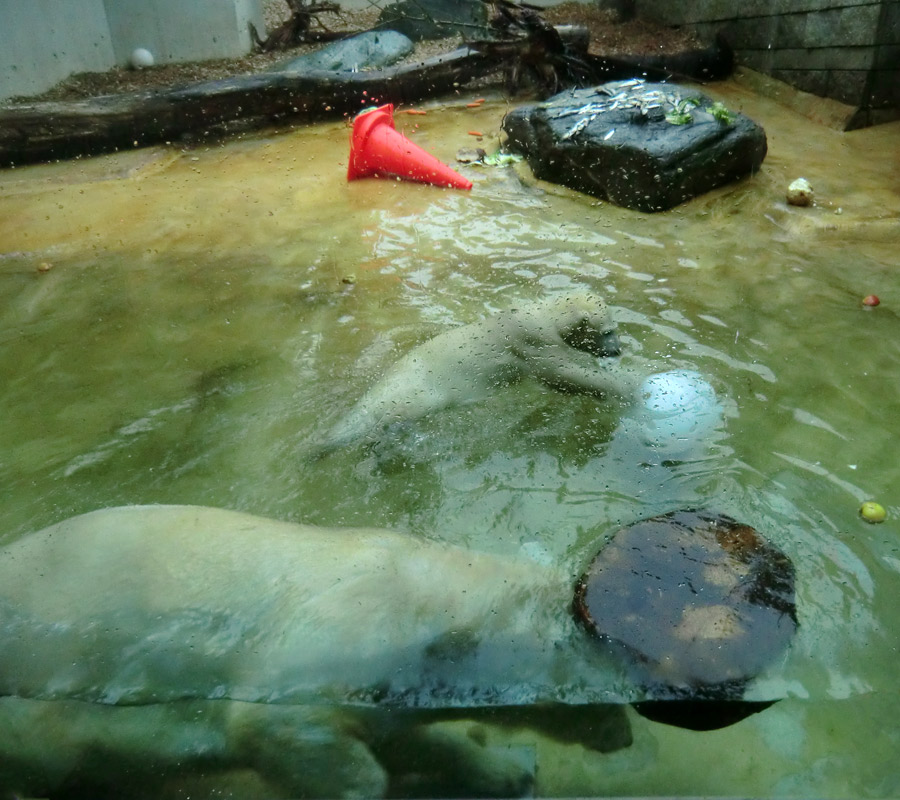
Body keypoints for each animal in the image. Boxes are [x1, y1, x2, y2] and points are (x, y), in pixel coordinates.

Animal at [0, 506, 632, 800]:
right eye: (604, 694)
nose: (625, 737)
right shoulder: (334, 649)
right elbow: (278, 728)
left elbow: (414, 740)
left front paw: (505, 769)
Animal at [318, 294, 640, 456]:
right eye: (608, 331)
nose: (618, 350)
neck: (543, 314)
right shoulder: (532, 339)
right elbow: (559, 372)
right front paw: (628, 389)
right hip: (420, 387)